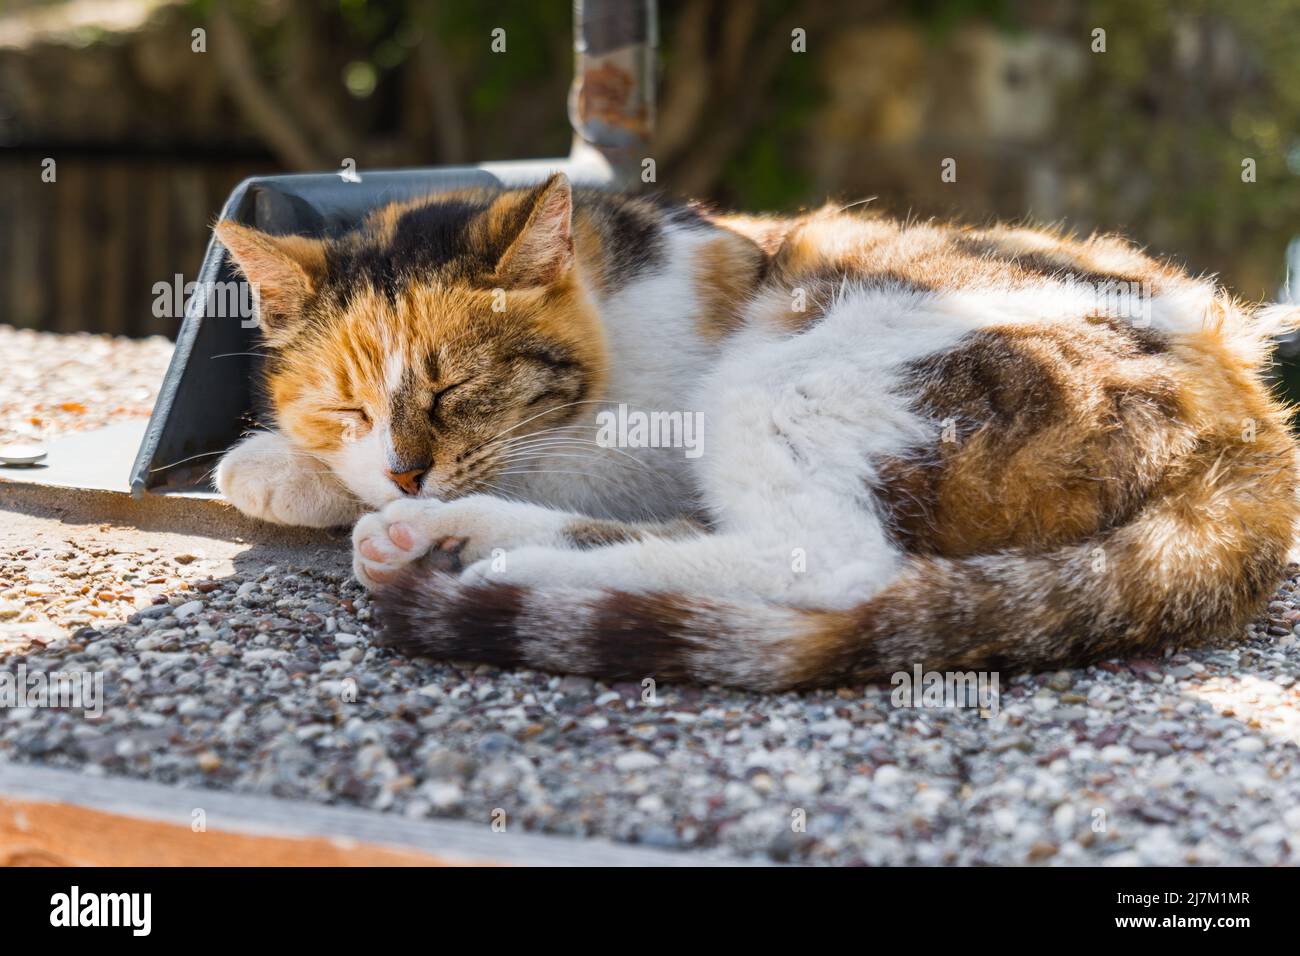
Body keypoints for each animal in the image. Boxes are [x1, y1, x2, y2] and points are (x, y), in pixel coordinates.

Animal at [213, 175, 1300, 691]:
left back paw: (497, 564)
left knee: (834, 564)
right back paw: (450, 538)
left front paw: (296, 470)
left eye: (459, 389)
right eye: (348, 404)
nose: (404, 471)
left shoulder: (645, 432)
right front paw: (299, 464)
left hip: (798, 363)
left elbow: (543, 461)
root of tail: (1249, 415)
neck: (612, 288)